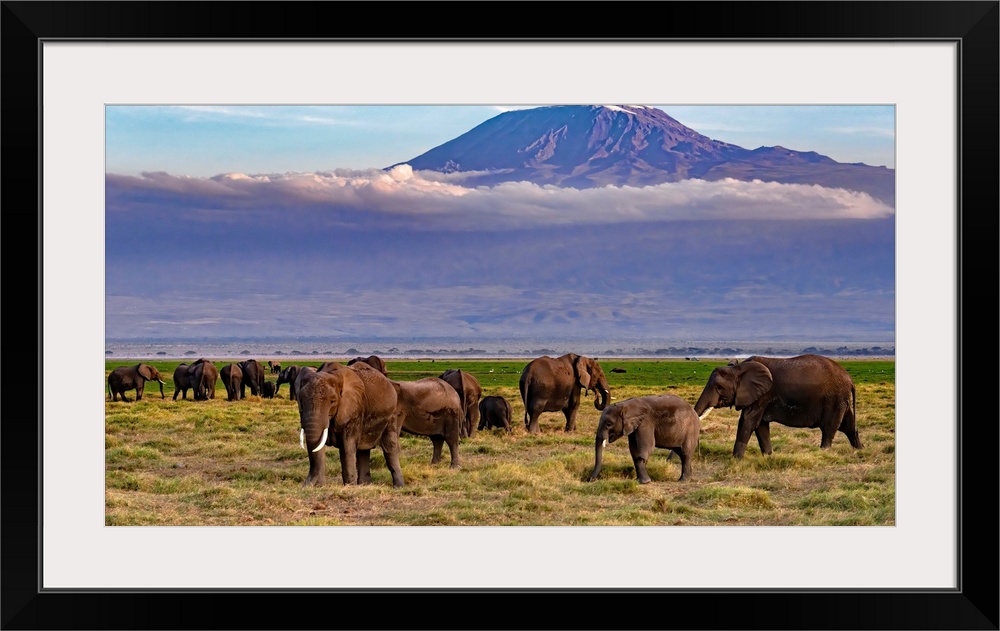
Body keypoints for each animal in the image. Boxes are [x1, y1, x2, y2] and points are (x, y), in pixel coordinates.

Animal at [294, 360, 404, 488]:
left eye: (332, 401)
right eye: (301, 401)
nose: (304, 487)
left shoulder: (354, 411)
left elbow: (347, 448)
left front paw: (349, 486)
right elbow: (319, 446)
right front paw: (321, 486)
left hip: (391, 415)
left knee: (390, 448)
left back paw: (398, 487)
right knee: (363, 450)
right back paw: (364, 485)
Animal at [696, 356, 860, 460]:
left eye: (719, 388)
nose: (698, 453)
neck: (738, 368)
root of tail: (850, 380)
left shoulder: (762, 395)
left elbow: (747, 422)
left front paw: (736, 460)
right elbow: (760, 426)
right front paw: (769, 457)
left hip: (834, 399)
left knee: (829, 428)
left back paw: (823, 453)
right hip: (841, 400)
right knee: (849, 427)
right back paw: (860, 450)